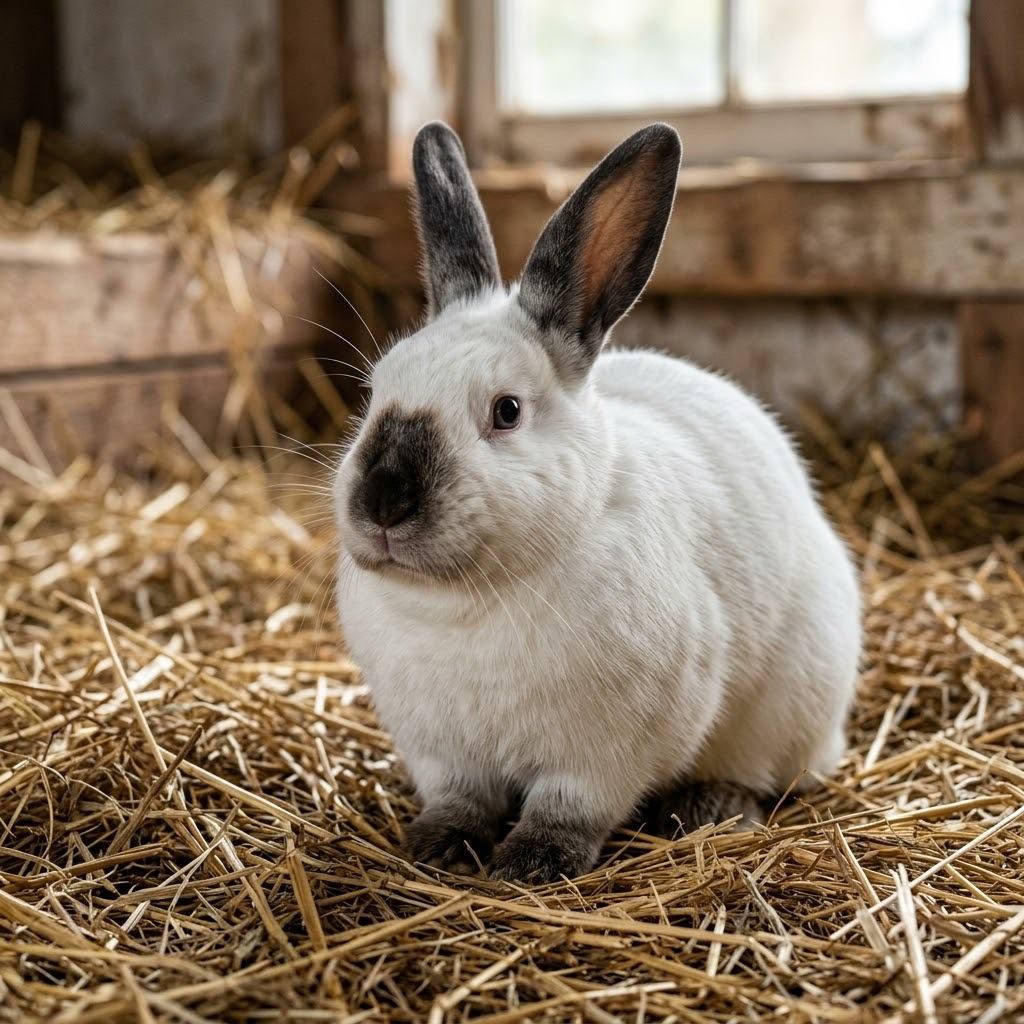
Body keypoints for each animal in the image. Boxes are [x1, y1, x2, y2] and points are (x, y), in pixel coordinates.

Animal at [332, 120, 861, 884]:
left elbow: (568, 808)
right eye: (375, 393)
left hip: (791, 704)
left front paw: (531, 864)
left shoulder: (604, 755)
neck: (464, 604)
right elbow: (461, 799)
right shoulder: (440, 751)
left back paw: (710, 807)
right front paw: (439, 845)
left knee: (763, 772)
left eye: (507, 411)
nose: (383, 503)